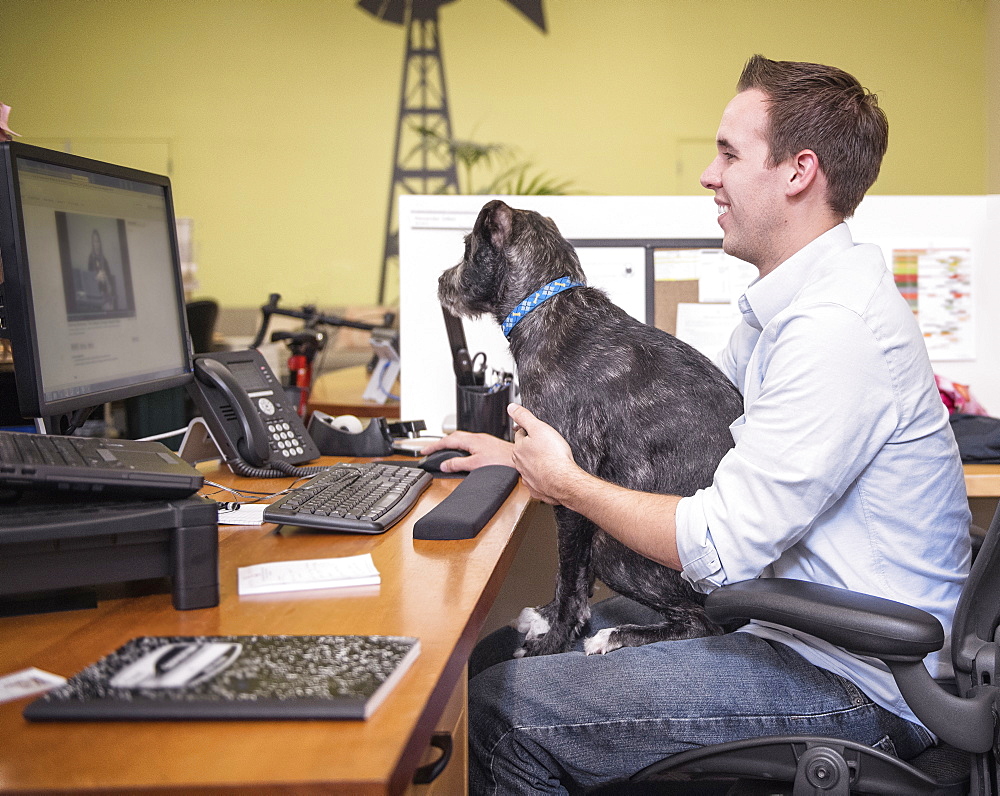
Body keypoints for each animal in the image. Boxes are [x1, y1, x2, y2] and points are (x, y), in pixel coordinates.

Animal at [436, 202, 744, 656]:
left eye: (466, 247)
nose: (441, 281)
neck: (544, 306)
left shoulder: (569, 489)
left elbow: (568, 574)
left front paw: (553, 640)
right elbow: (574, 579)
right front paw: (550, 618)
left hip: (612, 548)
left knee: (703, 623)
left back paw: (616, 635)